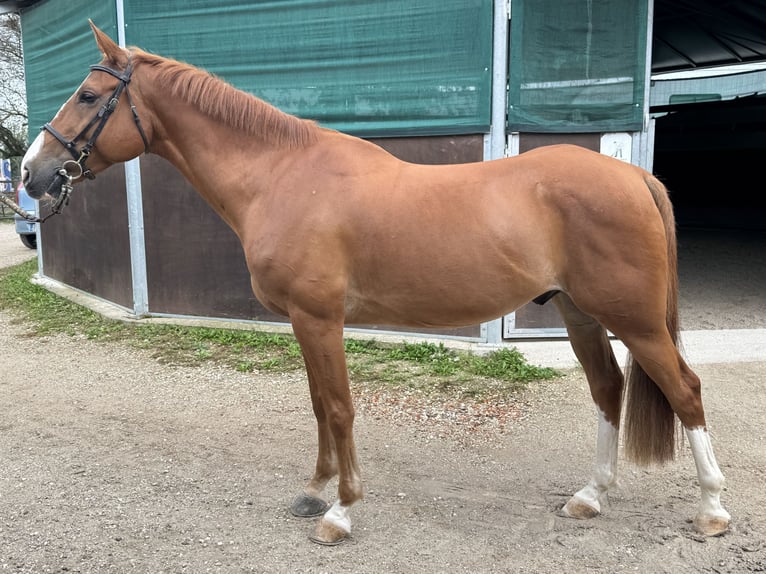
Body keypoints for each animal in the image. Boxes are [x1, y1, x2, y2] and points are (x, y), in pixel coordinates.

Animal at [21, 22, 732, 544]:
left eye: (88, 97)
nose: (31, 172)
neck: (284, 176)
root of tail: (631, 175)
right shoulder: (302, 322)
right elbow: (317, 405)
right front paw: (314, 492)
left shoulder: (319, 317)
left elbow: (338, 407)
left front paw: (340, 512)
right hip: (580, 313)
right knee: (608, 390)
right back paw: (591, 496)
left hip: (635, 320)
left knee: (686, 390)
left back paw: (712, 510)